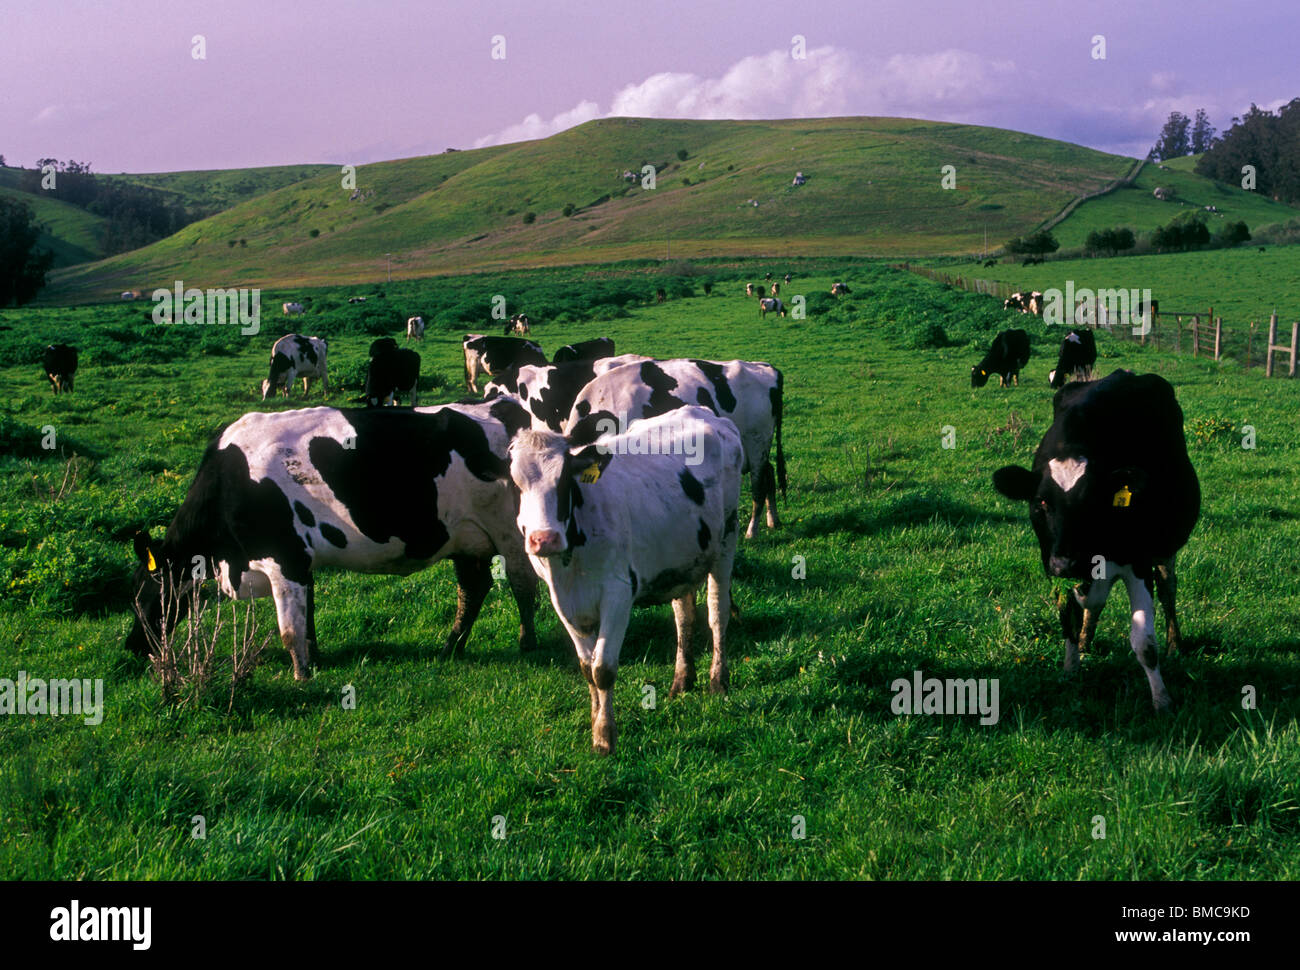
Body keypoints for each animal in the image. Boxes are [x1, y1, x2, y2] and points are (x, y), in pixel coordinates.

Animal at [125, 398, 542, 678]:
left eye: (144, 596)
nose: (133, 648)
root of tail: (501, 406)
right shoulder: (300, 561)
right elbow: (307, 617)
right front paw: (316, 661)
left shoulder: (284, 558)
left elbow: (290, 629)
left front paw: (301, 676)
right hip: (464, 537)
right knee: (473, 589)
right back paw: (451, 647)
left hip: (511, 533)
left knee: (523, 586)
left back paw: (526, 644)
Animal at [504, 406, 744, 754]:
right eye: (515, 484)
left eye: (564, 481)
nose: (544, 539)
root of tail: (703, 412)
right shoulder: (562, 602)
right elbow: (587, 668)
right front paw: (595, 723)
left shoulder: (618, 595)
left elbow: (602, 669)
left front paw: (606, 736)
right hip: (681, 558)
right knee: (684, 617)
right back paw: (682, 680)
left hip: (727, 539)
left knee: (717, 613)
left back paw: (718, 680)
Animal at [564, 357, 785, 539]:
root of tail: (767, 368)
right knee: (770, 473)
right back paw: (773, 520)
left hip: (757, 443)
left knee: (759, 486)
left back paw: (752, 531)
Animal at [991, 370, 1201, 711]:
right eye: (1041, 503)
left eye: (1091, 502)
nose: (1066, 563)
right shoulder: (1052, 564)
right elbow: (1068, 618)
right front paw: (1070, 669)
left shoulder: (1138, 561)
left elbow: (1144, 642)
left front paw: (1162, 700)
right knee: (1094, 602)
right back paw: (1086, 641)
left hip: (1165, 546)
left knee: (1168, 587)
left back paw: (1175, 645)